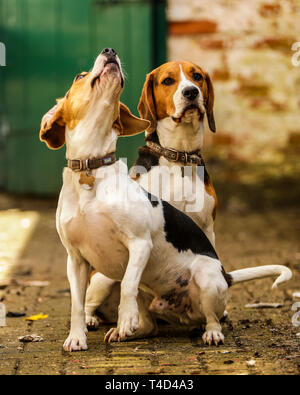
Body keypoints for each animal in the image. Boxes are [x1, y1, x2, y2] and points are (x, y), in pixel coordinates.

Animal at [40, 50, 292, 352]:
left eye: (197, 77)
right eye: (80, 76)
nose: (110, 51)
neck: (92, 168)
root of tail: (225, 274)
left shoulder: (139, 244)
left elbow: (128, 283)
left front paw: (126, 317)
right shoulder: (75, 260)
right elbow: (76, 304)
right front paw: (76, 337)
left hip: (207, 279)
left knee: (209, 318)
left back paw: (208, 333)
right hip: (105, 280)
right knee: (145, 324)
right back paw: (120, 331)